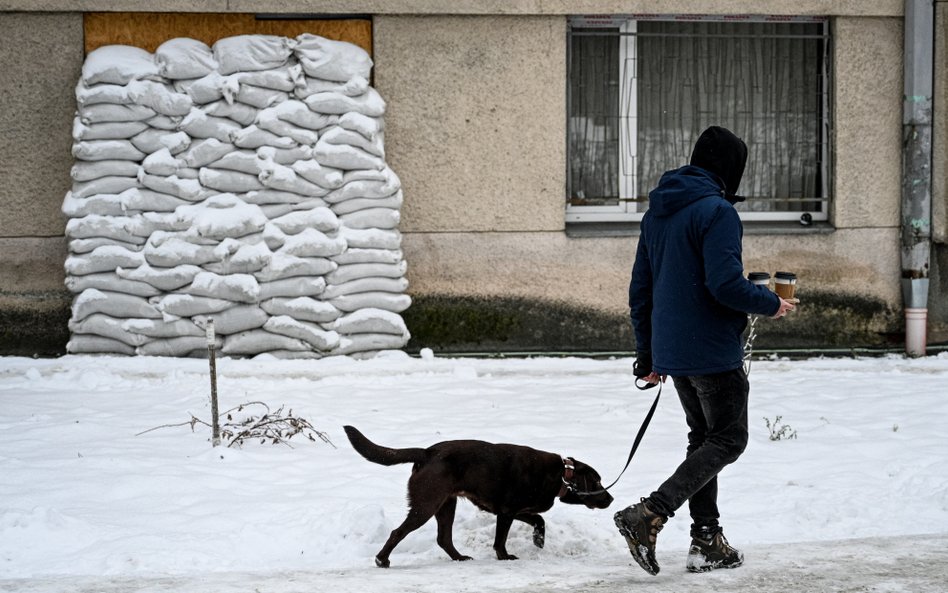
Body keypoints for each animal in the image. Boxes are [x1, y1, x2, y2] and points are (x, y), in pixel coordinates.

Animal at [340, 424, 616, 568]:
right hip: (426, 504)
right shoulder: (506, 512)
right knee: (398, 532)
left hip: (446, 504)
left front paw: (538, 540)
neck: (560, 475)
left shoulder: (517, 510)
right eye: (597, 481)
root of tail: (426, 452)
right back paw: (382, 559)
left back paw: (459, 557)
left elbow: (540, 519)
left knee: (443, 538)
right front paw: (504, 557)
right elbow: (500, 540)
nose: (611, 499)